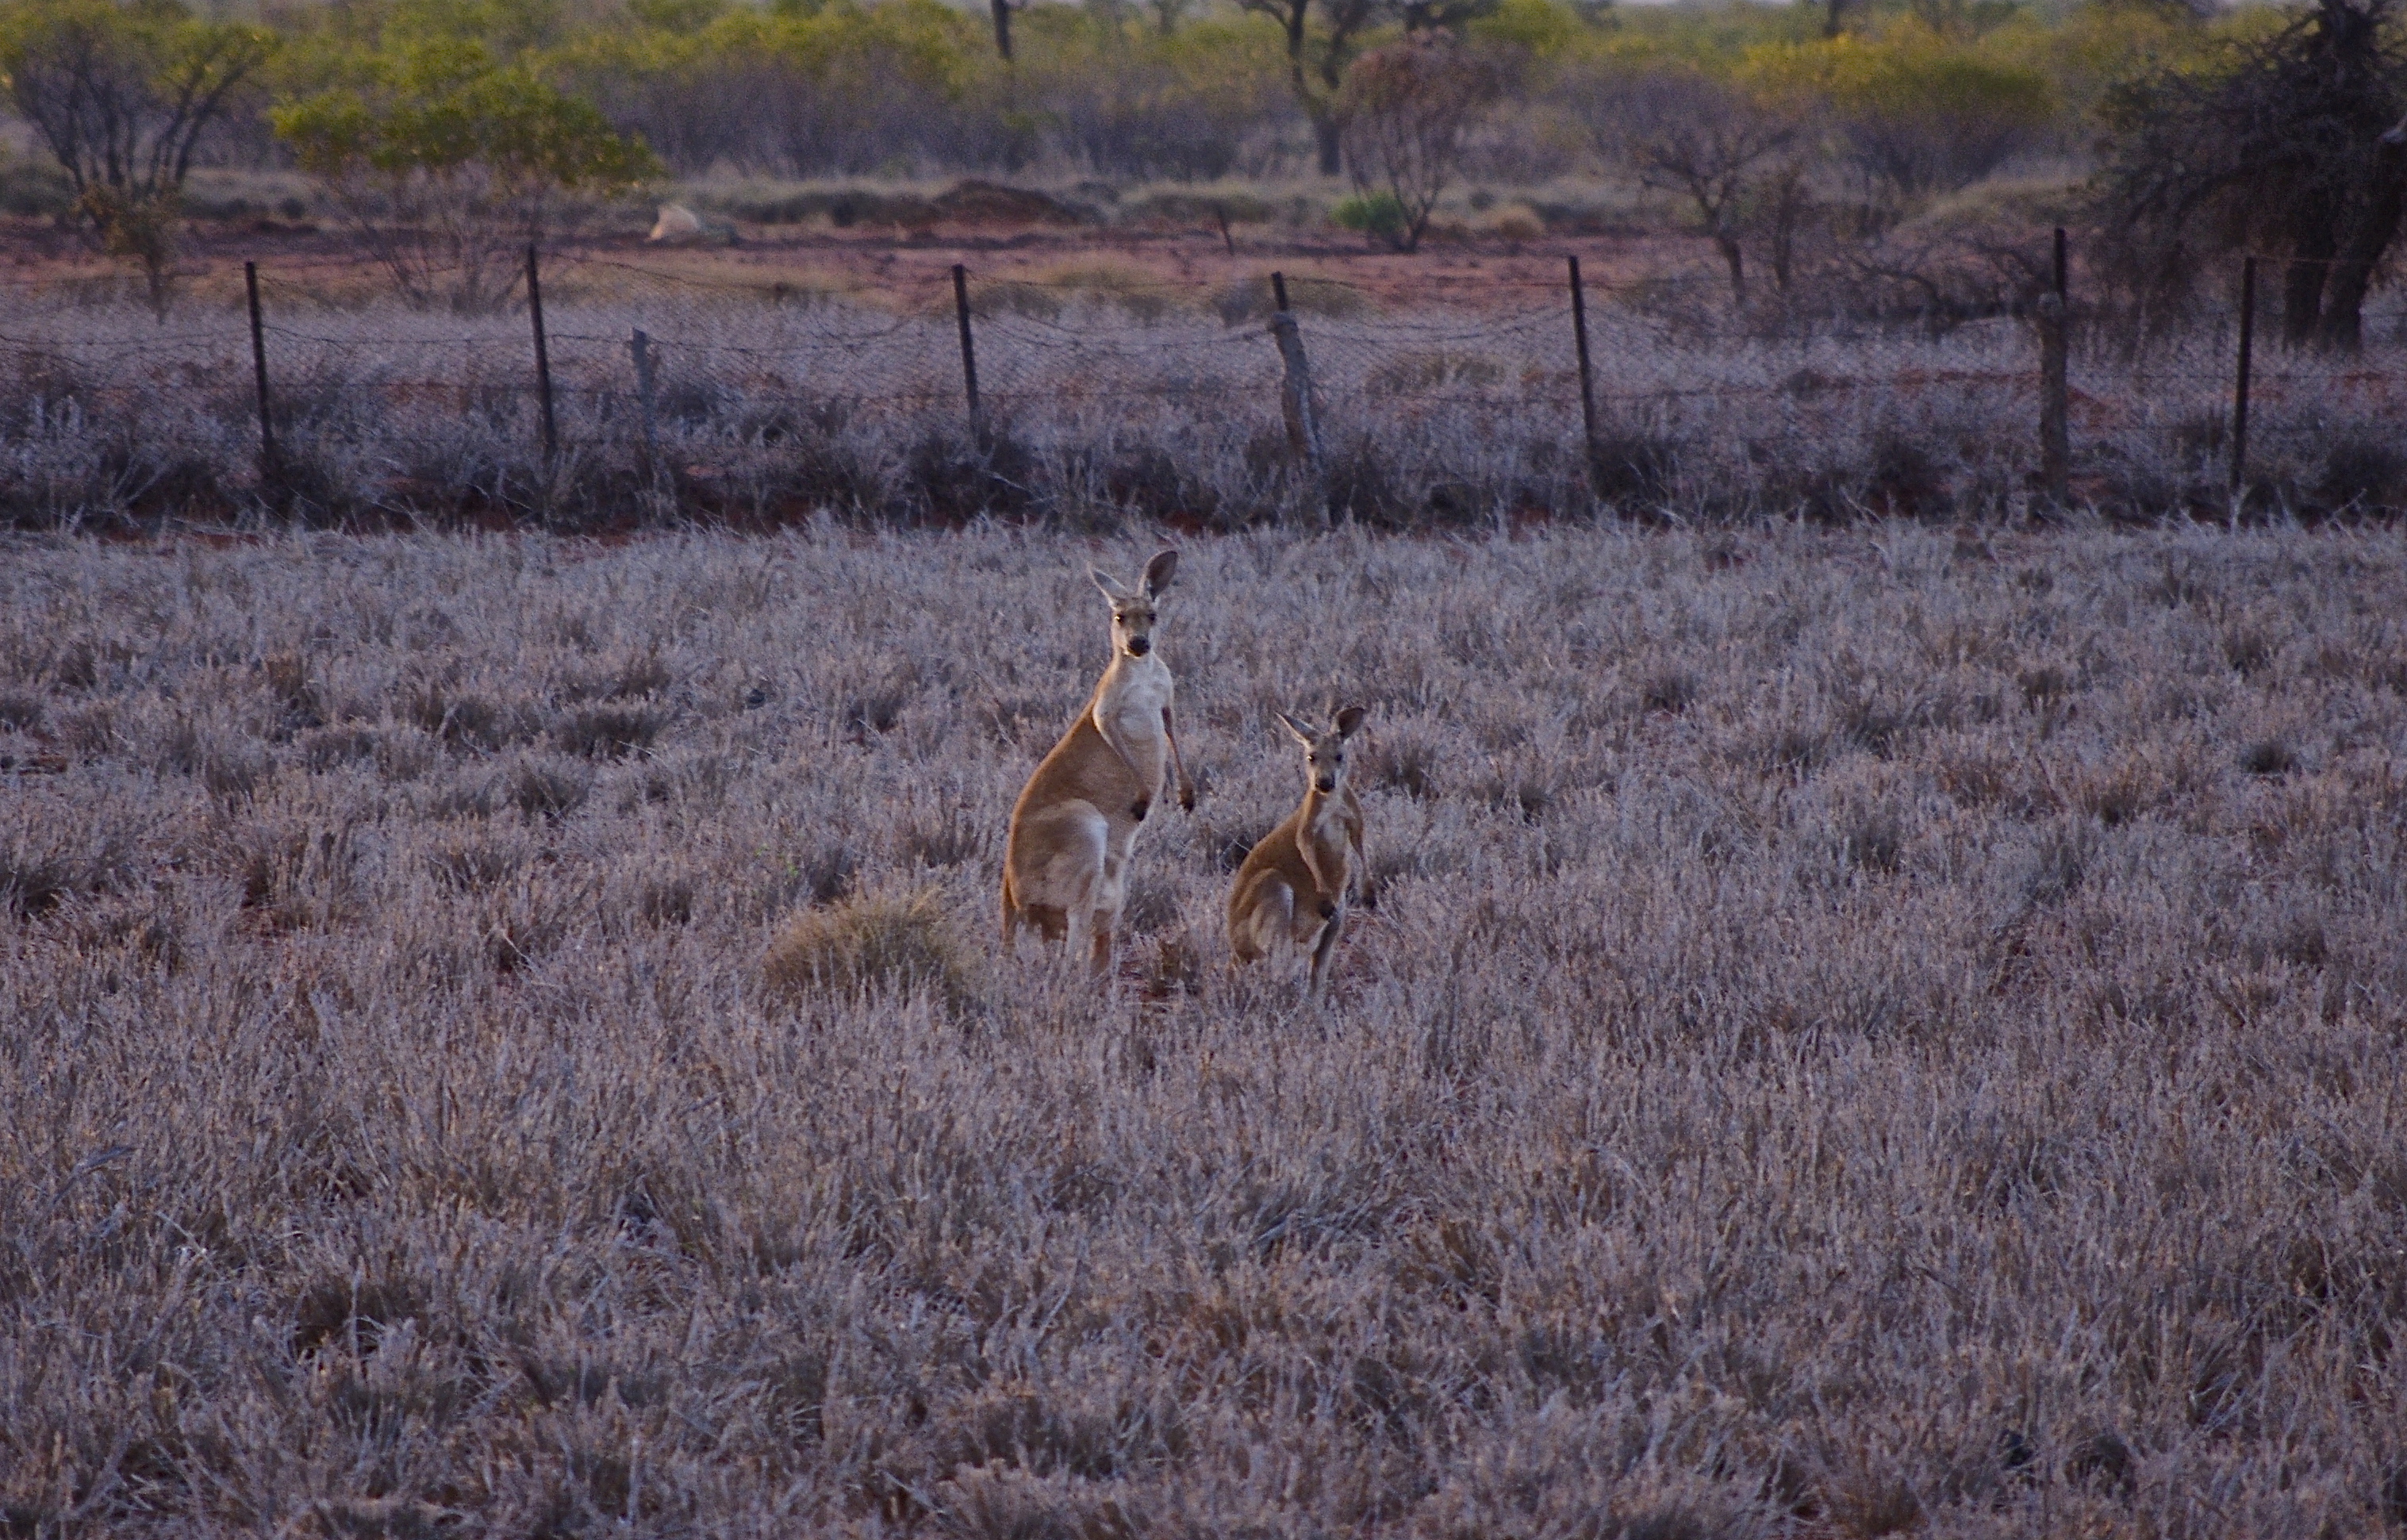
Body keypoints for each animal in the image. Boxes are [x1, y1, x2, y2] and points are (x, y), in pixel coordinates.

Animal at [1001, 550, 1197, 970]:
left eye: (1152, 616)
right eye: (1119, 617)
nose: (1139, 643)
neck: (1141, 672)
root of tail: (1013, 900)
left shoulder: (1166, 700)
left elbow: (1173, 732)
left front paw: (1187, 795)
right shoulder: (1106, 708)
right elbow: (1112, 735)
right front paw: (1142, 798)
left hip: (1112, 885)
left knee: (1093, 937)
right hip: (1084, 829)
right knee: (1074, 937)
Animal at [1226, 705, 1366, 1001]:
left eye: (1340, 756)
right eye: (1311, 757)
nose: (1324, 782)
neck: (1331, 805)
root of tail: (1235, 952)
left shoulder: (1352, 819)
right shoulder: (1309, 825)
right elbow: (1307, 847)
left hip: (1335, 921)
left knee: (1313, 973)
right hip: (1273, 891)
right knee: (1276, 967)